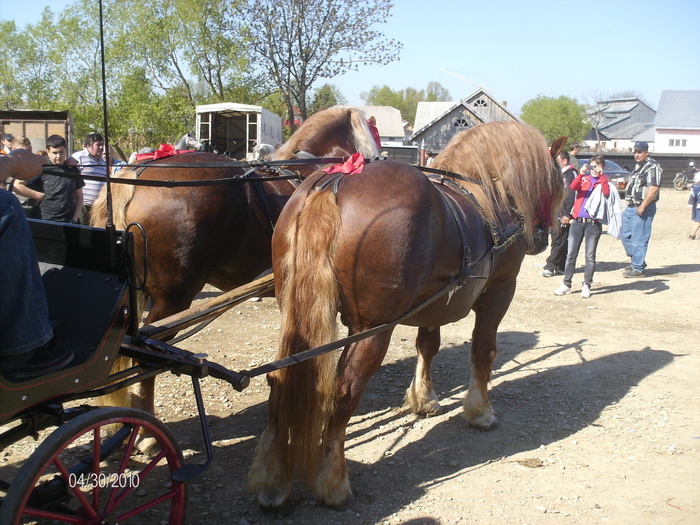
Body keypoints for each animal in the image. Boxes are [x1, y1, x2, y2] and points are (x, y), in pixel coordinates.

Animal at [249, 122, 568, 508]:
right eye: (555, 182)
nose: (541, 237)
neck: (486, 194)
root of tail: (336, 182)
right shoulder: (500, 292)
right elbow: (483, 351)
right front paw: (479, 411)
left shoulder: (434, 301)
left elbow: (428, 346)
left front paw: (424, 398)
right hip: (373, 330)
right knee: (344, 392)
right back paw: (334, 481)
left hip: (298, 318)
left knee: (280, 382)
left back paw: (273, 479)